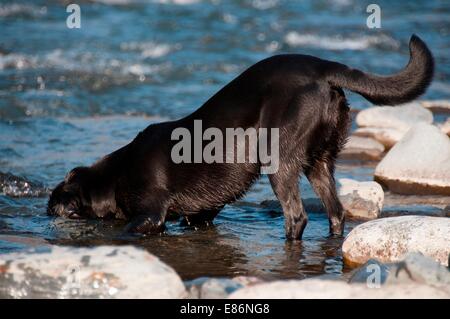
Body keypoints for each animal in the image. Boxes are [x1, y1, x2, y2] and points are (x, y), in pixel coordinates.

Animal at [48, 35, 432, 240]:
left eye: (56, 203)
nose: (47, 209)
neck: (113, 177)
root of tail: (323, 67)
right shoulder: (202, 213)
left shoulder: (151, 213)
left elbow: (129, 226)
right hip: (320, 162)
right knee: (335, 212)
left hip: (280, 160)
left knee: (297, 216)